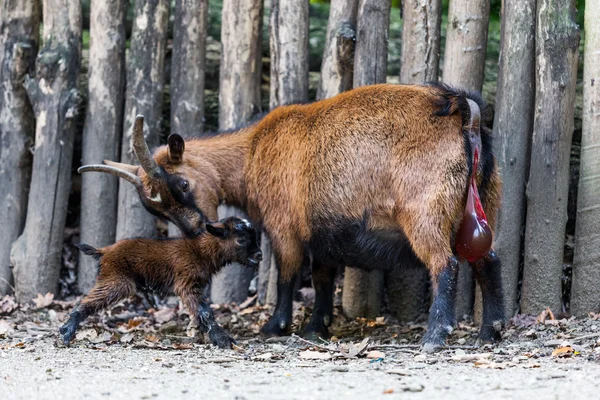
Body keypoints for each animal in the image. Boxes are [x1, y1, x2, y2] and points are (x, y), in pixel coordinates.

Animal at [79, 83, 502, 350]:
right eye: (154, 206)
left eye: (181, 184)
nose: (199, 231)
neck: (251, 153)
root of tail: (464, 115)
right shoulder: (327, 233)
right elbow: (323, 277)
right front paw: (316, 327)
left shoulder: (283, 226)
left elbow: (287, 274)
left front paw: (275, 327)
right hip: (485, 203)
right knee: (489, 260)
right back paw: (489, 332)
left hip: (425, 211)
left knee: (445, 264)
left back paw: (434, 337)